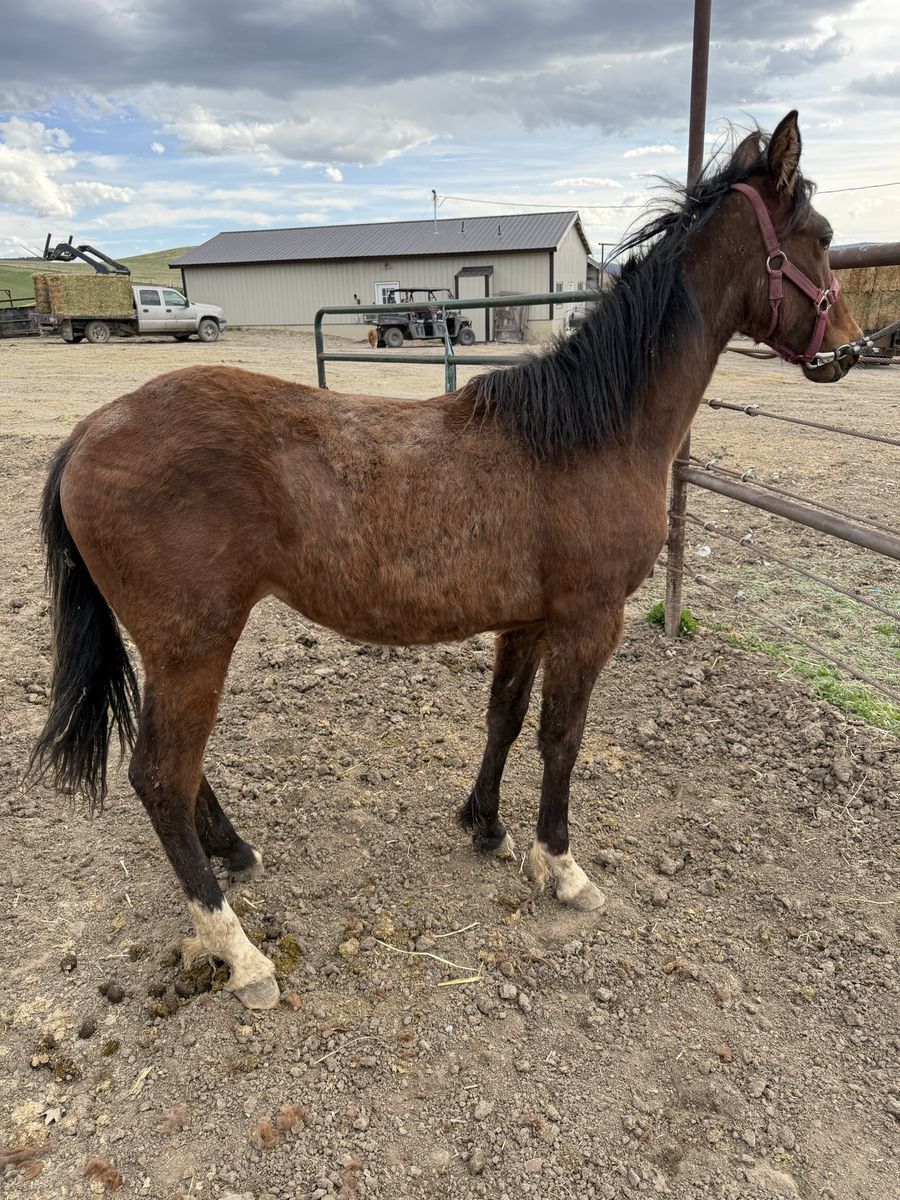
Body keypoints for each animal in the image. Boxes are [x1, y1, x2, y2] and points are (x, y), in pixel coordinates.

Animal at [30, 112, 861, 1009]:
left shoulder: (528, 621)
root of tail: (92, 430)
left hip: (181, 647)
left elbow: (505, 718)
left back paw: (235, 851)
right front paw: (560, 866)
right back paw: (239, 951)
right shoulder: (589, 620)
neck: (589, 430)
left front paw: (486, 826)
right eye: (820, 238)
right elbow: (562, 738)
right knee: (161, 776)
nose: (853, 348)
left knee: (179, 770)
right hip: (194, 644)